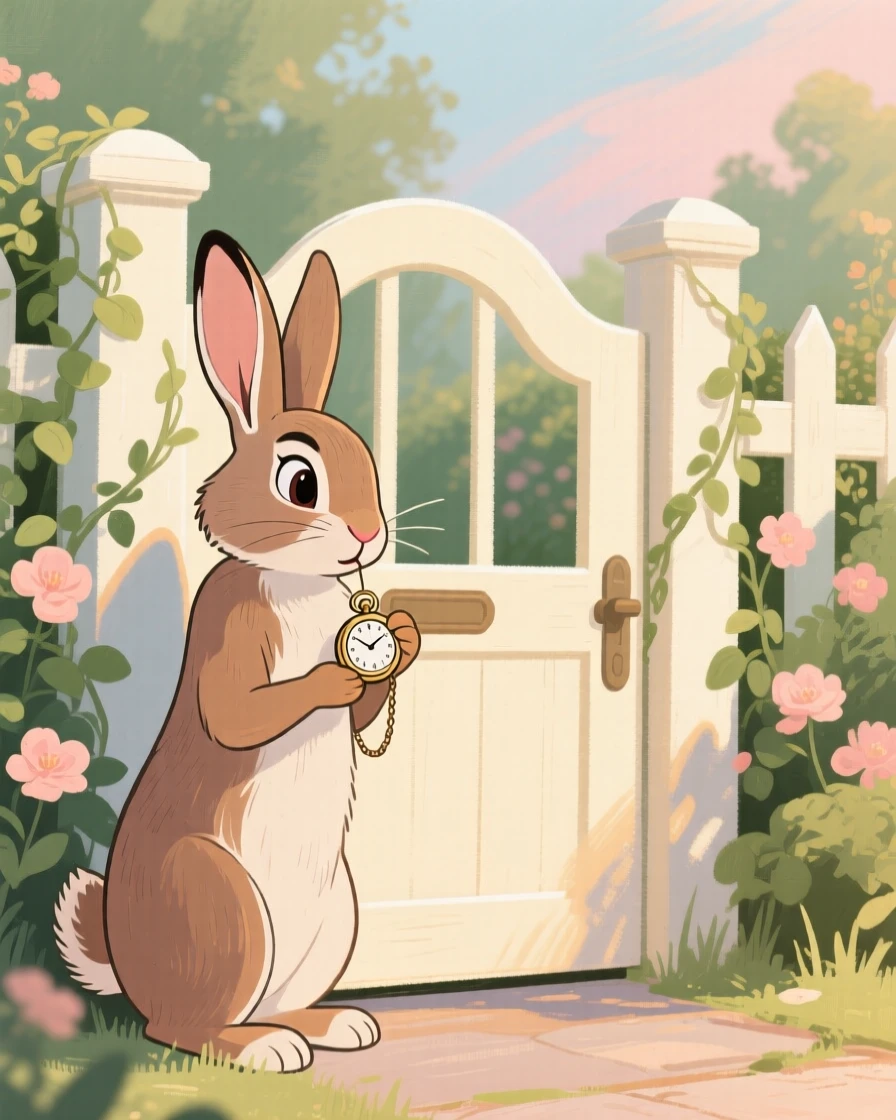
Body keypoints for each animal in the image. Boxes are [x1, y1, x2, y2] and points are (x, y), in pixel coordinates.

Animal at [53, 232, 421, 1072]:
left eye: (369, 463)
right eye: (300, 480)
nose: (369, 535)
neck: (295, 576)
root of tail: (129, 971)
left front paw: (406, 639)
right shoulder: (230, 633)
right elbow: (238, 713)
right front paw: (331, 676)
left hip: (332, 918)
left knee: (273, 1004)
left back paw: (335, 1027)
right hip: (219, 903)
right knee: (181, 1029)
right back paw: (265, 1051)